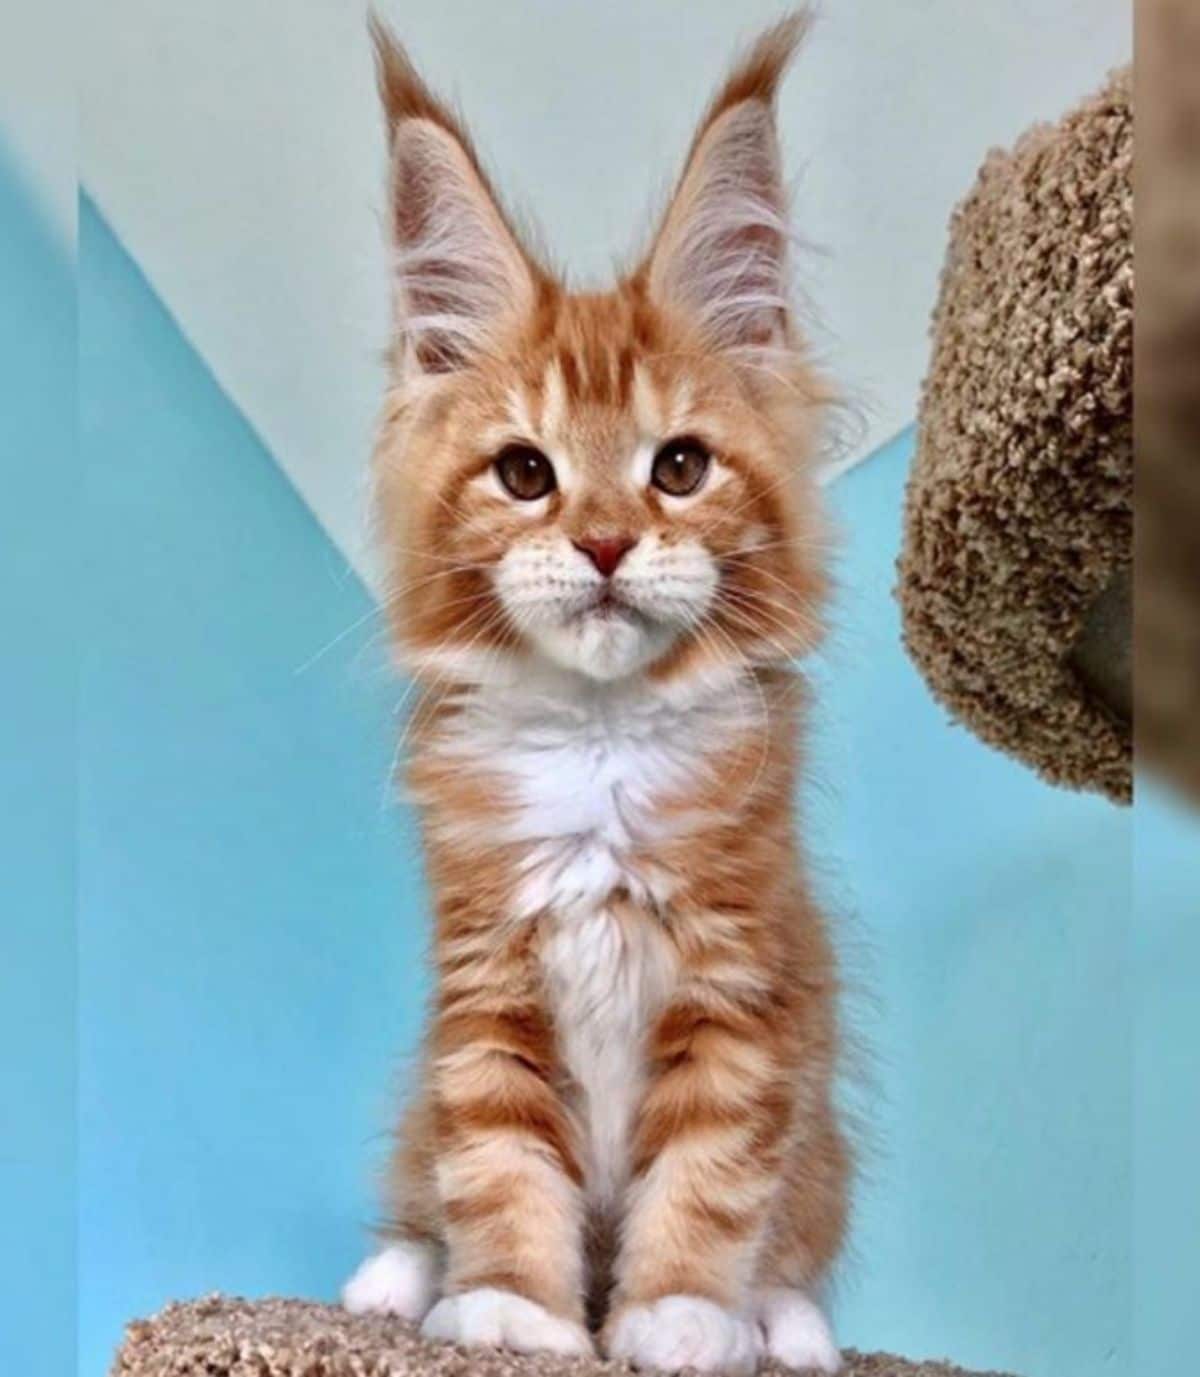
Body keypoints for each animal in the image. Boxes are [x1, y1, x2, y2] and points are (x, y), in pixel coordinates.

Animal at [344, 13, 854, 1377]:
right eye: (526, 475)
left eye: (678, 468)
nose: (609, 544)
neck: (600, 744)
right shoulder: (486, 993)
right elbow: (498, 1162)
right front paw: (517, 1312)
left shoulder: (742, 989)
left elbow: (712, 1176)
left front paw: (677, 1317)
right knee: (418, 1193)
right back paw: (390, 1283)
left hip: (827, 1144)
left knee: (795, 1240)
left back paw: (787, 1327)